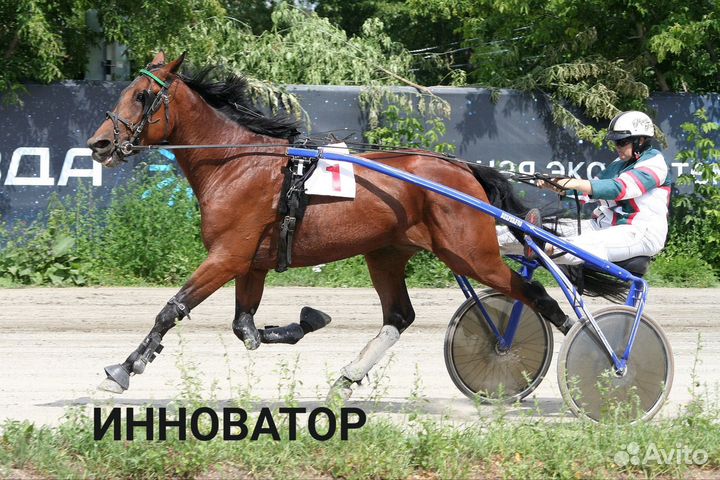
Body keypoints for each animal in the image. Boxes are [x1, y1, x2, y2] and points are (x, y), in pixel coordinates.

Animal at [87, 51, 570, 398]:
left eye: (142, 96)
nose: (99, 143)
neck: (235, 162)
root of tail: (464, 169)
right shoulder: (250, 262)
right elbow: (246, 329)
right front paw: (305, 320)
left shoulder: (227, 256)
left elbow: (172, 309)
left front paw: (123, 369)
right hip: (387, 253)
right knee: (400, 316)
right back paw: (347, 379)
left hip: (471, 254)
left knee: (537, 294)